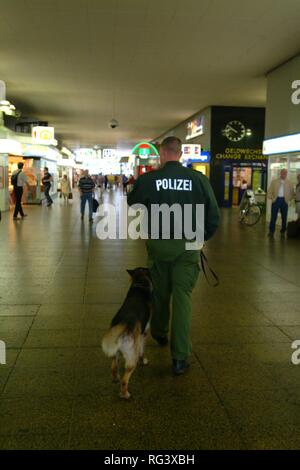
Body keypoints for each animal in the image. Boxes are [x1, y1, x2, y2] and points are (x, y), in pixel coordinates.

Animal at [102, 268, 152, 396]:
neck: (139, 284)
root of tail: (124, 323)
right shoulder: (144, 333)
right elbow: (142, 350)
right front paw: (144, 360)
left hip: (115, 353)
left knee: (114, 367)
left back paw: (116, 379)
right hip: (131, 357)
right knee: (125, 379)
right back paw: (125, 394)